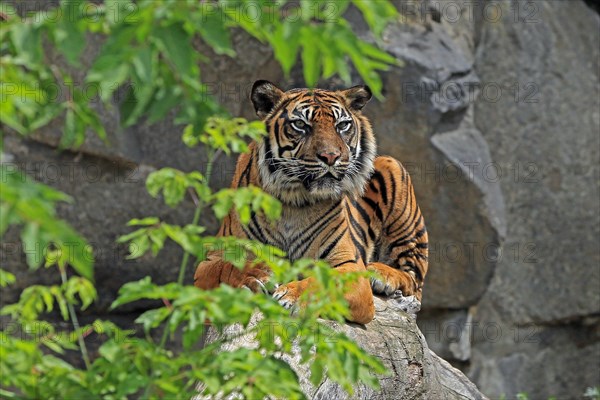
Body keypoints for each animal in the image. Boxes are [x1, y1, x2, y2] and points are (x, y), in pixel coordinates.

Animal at [195, 79, 428, 324]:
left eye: (342, 125)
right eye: (300, 124)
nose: (331, 157)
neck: (291, 202)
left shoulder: (349, 266)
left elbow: (325, 281)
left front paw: (292, 295)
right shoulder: (212, 257)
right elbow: (223, 268)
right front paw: (253, 275)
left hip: (395, 172)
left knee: (415, 281)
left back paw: (381, 274)